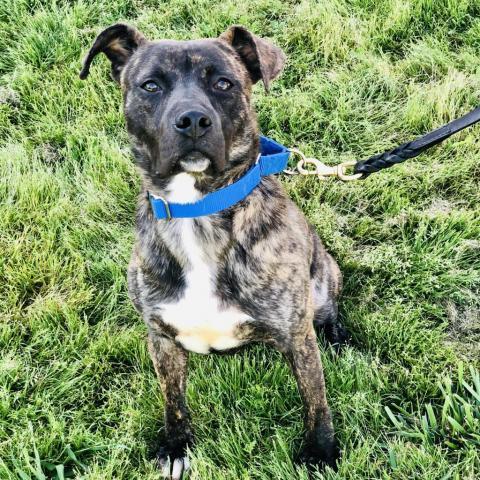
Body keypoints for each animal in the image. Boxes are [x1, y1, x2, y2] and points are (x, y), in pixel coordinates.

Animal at [80, 23, 346, 480]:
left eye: (224, 83)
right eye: (150, 85)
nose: (192, 120)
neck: (197, 209)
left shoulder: (297, 337)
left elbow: (316, 399)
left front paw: (321, 451)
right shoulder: (161, 337)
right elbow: (173, 400)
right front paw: (176, 445)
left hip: (324, 276)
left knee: (326, 311)